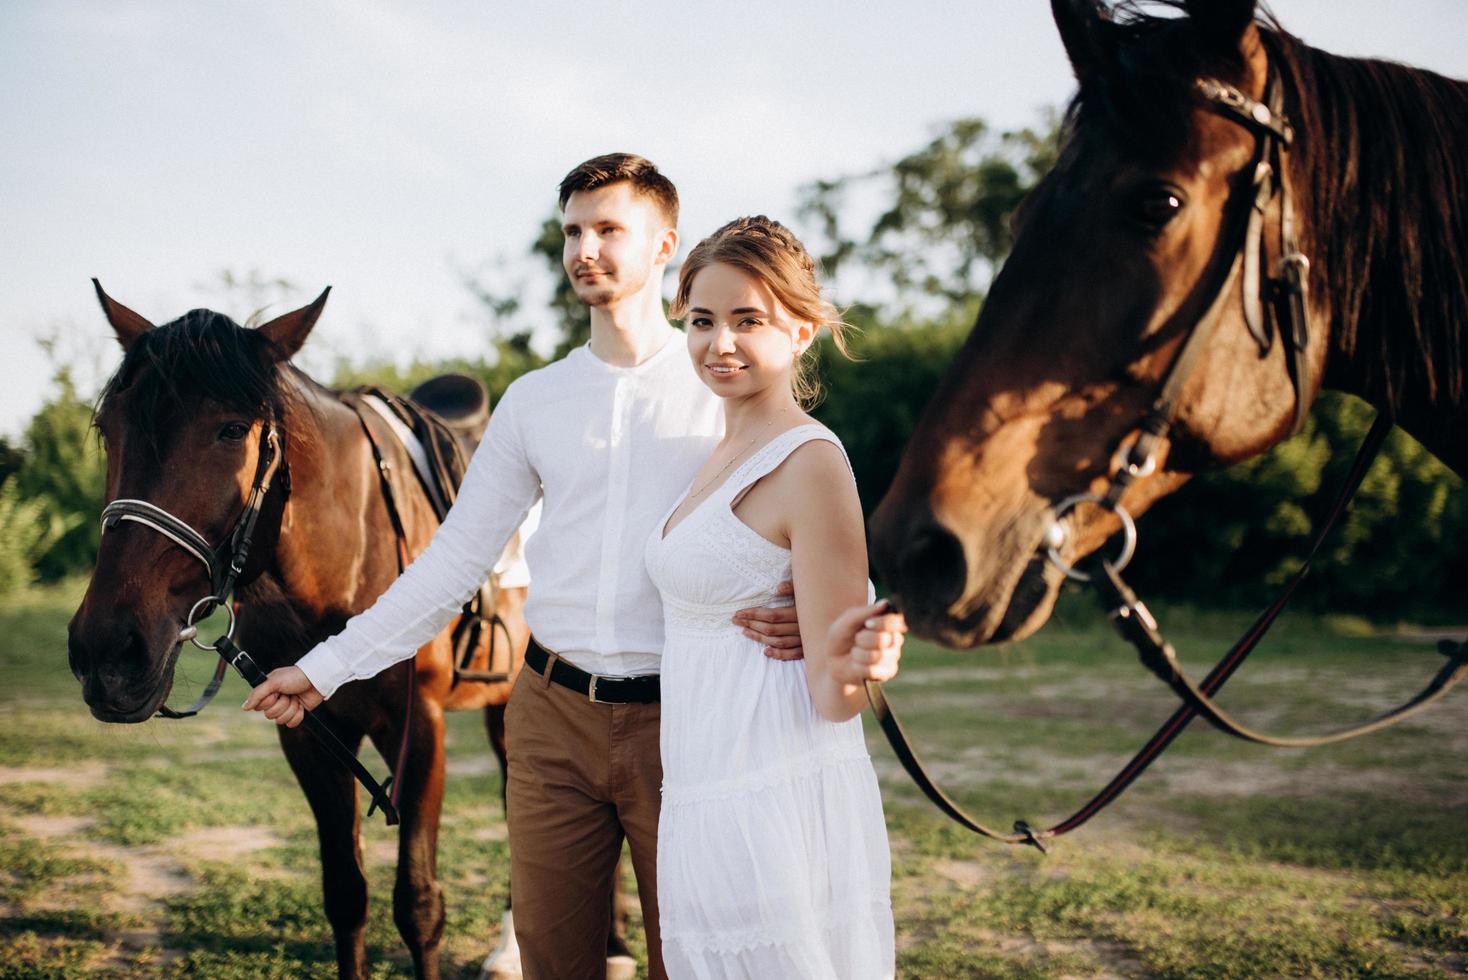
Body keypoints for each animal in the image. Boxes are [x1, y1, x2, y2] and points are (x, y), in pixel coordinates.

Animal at [61, 289, 590, 979]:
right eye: (109, 427)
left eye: (233, 429)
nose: (107, 651)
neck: (345, 560)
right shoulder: (309, 737)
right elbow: (346, 894)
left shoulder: (420, 730)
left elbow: (418, 905)